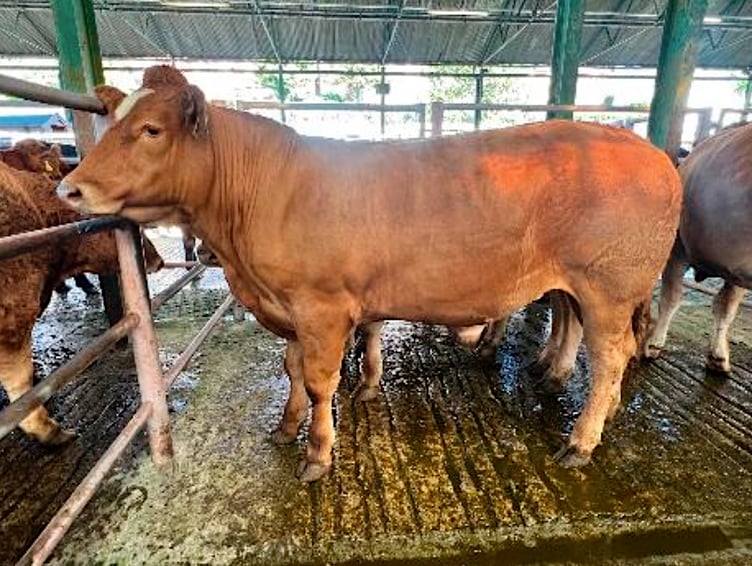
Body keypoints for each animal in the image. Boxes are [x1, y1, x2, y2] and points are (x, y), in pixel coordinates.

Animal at [58, 66, 682, 481]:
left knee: (611, 356)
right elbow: (291, 370)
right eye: (111, 123)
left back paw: (581, 441)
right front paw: (286, 427)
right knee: (593, 339)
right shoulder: (291, 309)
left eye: (151, 130)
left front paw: (317, 453)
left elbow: (319, 382)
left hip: (608, 286)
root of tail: (651, 152)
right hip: (578, 288)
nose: (70, 188)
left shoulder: (323, 306)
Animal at [646, 122, 752, 373]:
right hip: (678, 245)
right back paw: (654, 344)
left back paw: (718, 356)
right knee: (672, 296)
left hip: (733, 269)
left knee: (724, 304)